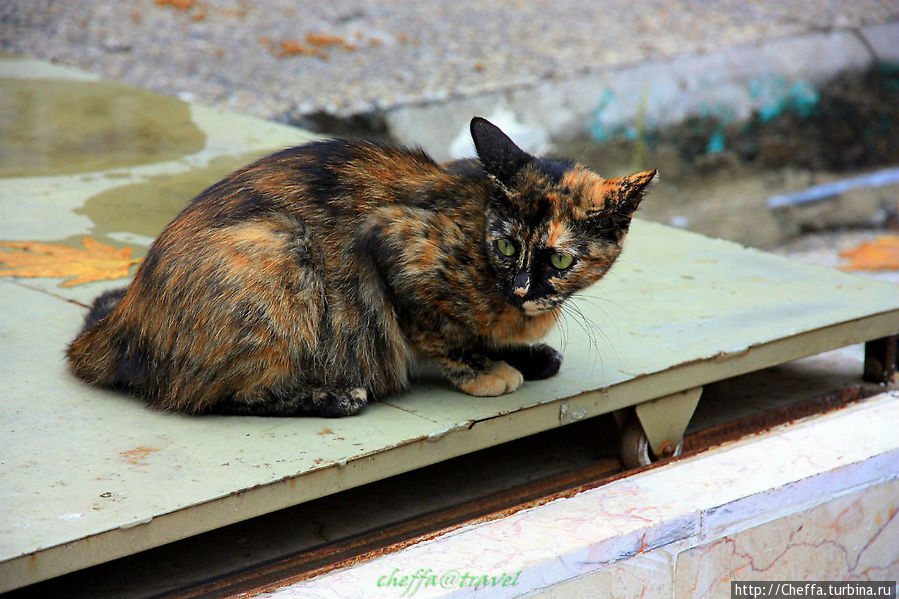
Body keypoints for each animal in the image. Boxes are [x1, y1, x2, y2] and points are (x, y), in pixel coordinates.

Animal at [65, 116, 652, 418]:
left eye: (559, 258)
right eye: (507, 248)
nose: (525, 289)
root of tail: (118, 326)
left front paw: (524, 355)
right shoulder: (393, 246)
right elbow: (440, 334)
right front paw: (485, 369)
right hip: (281, 251)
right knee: (206, 395)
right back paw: (333, 396)